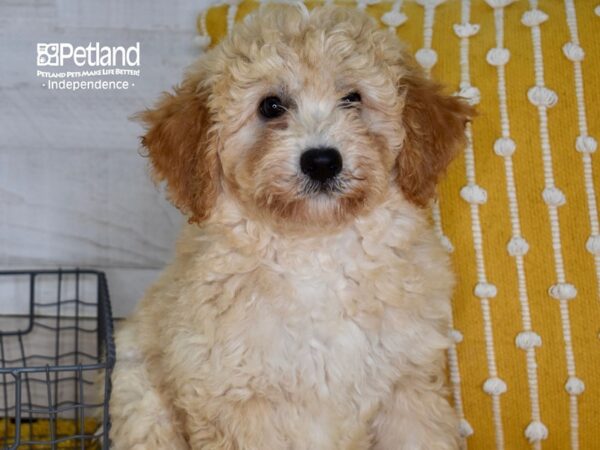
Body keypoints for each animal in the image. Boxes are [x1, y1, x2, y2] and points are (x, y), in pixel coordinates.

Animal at [109, 4, 474, 450]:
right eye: (271, 107)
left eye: (352, 99)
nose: (322, 161)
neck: (317, 251)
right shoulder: (237, 400)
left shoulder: (408, 385)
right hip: (142, 401)